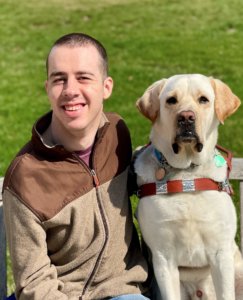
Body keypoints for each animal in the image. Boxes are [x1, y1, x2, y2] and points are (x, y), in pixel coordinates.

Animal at [135, 74, 243, 298]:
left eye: (203, 99)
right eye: (171, 100)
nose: (186, 117)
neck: (187, 173)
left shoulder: (221, 253)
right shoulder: (163, 258)